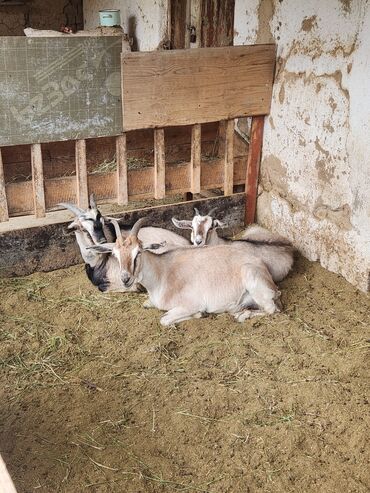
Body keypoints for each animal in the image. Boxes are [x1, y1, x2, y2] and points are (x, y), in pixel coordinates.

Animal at [87, 217, 284, 324]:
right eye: (115, 254)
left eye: (138, 252)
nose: (125, 278)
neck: (161, 273)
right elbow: (147, 305)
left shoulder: (190, 304)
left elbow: (165, 319)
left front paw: (200, 314)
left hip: (254, 283)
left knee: (272, 309)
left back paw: (243, 316)